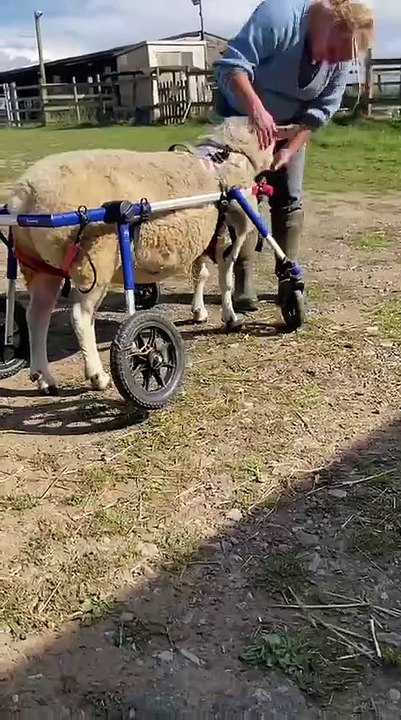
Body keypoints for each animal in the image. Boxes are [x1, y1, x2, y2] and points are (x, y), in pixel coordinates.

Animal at [7, 116, 274, 396]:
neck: (228, 157)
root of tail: (23, 197)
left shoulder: (202, 235)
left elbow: (199, 275)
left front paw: (199, 311)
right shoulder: (227, 238)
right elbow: (225, 280)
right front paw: (230, 318)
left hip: (38, 266)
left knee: (36, 316)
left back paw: (44, 377)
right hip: (93, 262)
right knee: (80, 316)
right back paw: (97, 376)